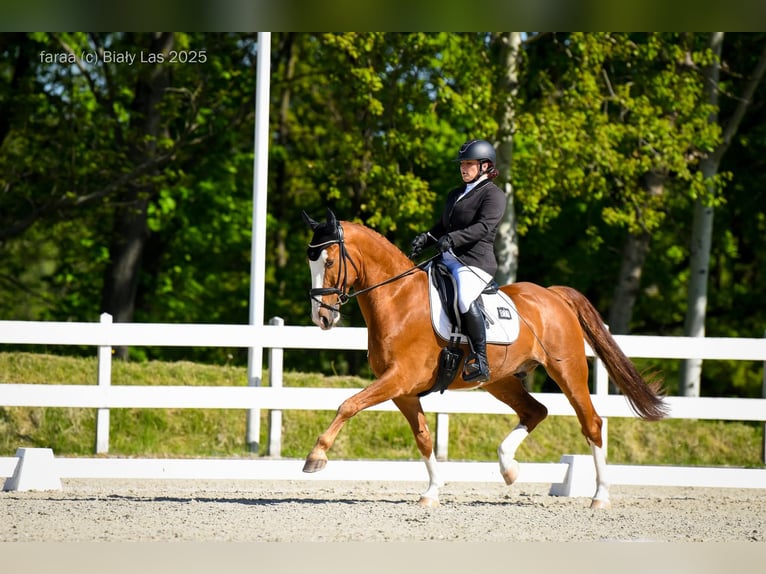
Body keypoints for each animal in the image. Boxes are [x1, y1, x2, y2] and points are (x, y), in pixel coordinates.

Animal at [301, 208, 667, 509]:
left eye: (329, 262)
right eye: (311, 263)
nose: (322, 318)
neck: (398, 300)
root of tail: (552, 294)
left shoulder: (399, 379)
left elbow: (348, 404)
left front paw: (316, 456)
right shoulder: (403, 391)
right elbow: (423, 436)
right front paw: (432, 492)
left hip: (568, 370)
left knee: (591, 423)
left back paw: (600, 496)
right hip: (500, 380)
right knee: (535, 411)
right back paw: (509, 469)